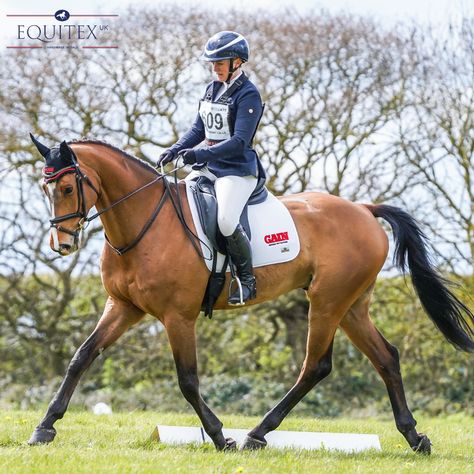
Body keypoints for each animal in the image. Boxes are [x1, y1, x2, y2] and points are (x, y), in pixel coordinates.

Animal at [29, 135, 474, 454]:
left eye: (66, 186)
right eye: (44, 188)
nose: (61, 244)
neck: (141, 223)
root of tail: (364, 209)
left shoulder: (178, 317)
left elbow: (187, 380)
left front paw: (220, 436)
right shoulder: (122, 308)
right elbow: (81, 358)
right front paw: (44, 427)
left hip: (327, 302)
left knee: (316, 366)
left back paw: (256, 434)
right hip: (351, 306)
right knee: (386, 357)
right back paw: (414, 437)